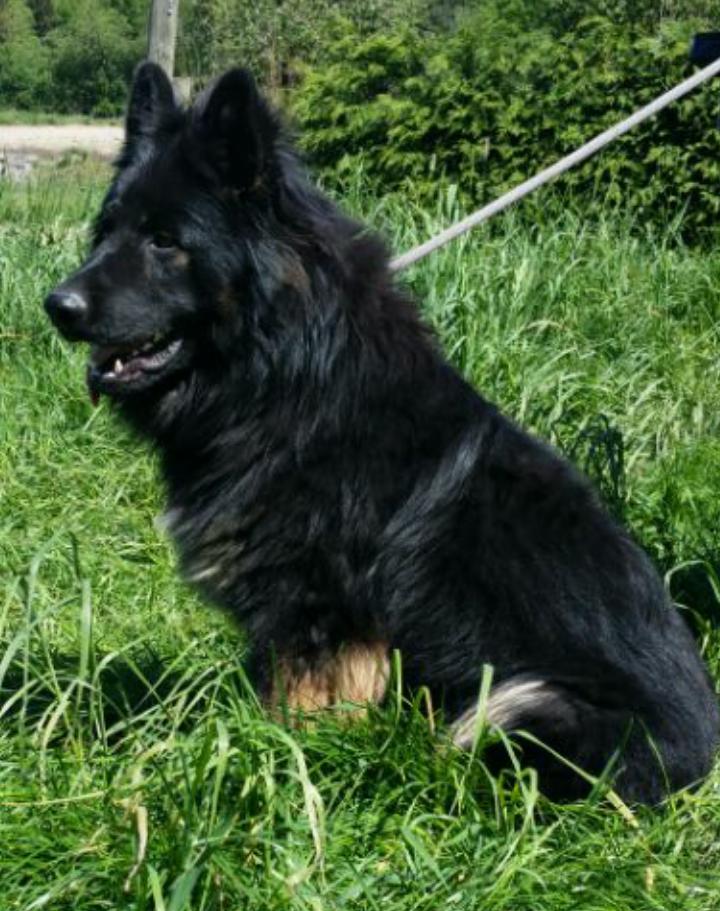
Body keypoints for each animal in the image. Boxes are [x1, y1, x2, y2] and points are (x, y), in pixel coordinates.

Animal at [45, 62, 718, 802]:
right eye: (108, 231)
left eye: (165, 242)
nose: (56, 305)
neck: (285, 375)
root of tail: (700, 767)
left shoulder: (321, 615)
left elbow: (298, 715)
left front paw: (284, 768)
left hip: (528, 701)